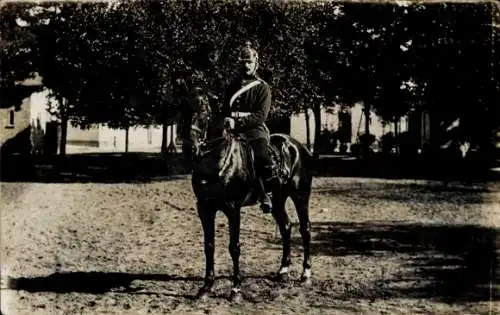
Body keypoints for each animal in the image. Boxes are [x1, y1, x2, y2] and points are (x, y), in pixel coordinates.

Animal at [186, 89, 314, 304]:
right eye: (186, 110)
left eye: (205, 112)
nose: (191, 148)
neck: (218, 163)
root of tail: (298, 146)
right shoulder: (204, 208)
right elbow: (209, 246)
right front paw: (206, 288)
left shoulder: (233, 209)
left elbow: (234, 247)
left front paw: (236, 289)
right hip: (278, 200)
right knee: (286, 227)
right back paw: (283, 270)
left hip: (301, 196)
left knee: (305, 229)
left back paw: (305, 274)